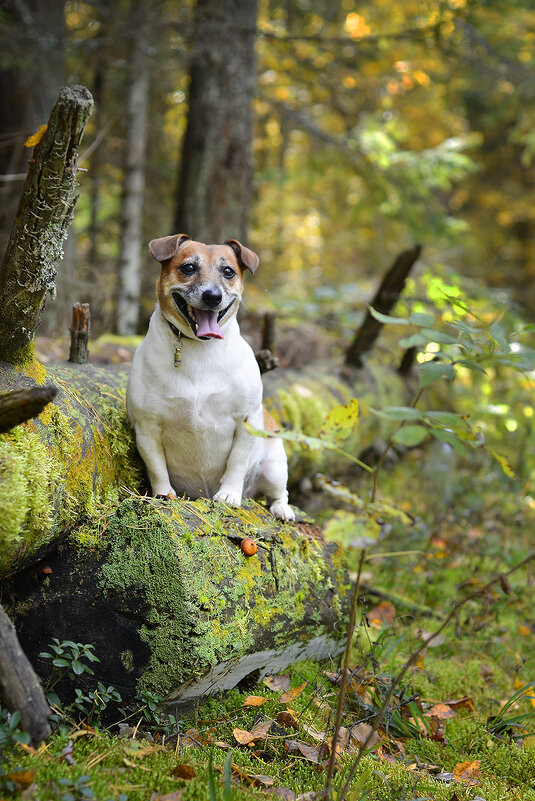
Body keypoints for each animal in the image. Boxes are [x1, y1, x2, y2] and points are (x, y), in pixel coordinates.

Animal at [126, 234, 296, 520]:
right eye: (188, 268)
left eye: (228, 271)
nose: (213, 296)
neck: (199, 348)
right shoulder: (147, 428)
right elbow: (157, 468)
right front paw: (163, 495)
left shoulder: (246, 420)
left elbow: (236, 462)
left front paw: (228, 495)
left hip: (274, 467)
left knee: (279, 492)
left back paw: (282, 509)